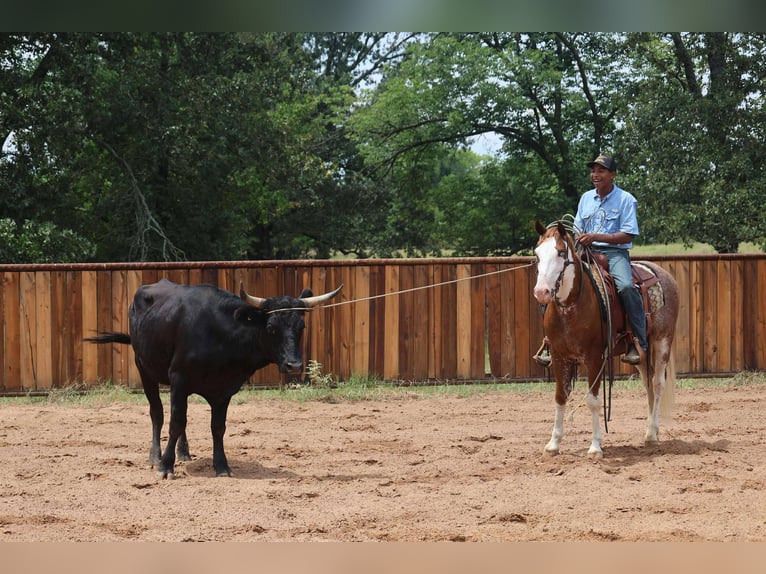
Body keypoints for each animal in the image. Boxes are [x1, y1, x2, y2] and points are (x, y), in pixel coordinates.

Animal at [532, 220, 680, 458]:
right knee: (647, 383)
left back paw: (652, 434)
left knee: (658, 384)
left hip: (663, 340)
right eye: (537, 254)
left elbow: (593, 401)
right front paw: (553, 444)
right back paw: (650, 431)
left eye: (561, 252)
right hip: (641, 353)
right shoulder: (558, 355)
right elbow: (560, 396)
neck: (571, 307)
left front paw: (595, 446)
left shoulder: (595, 357)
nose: (542, 292)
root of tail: (663, 274)